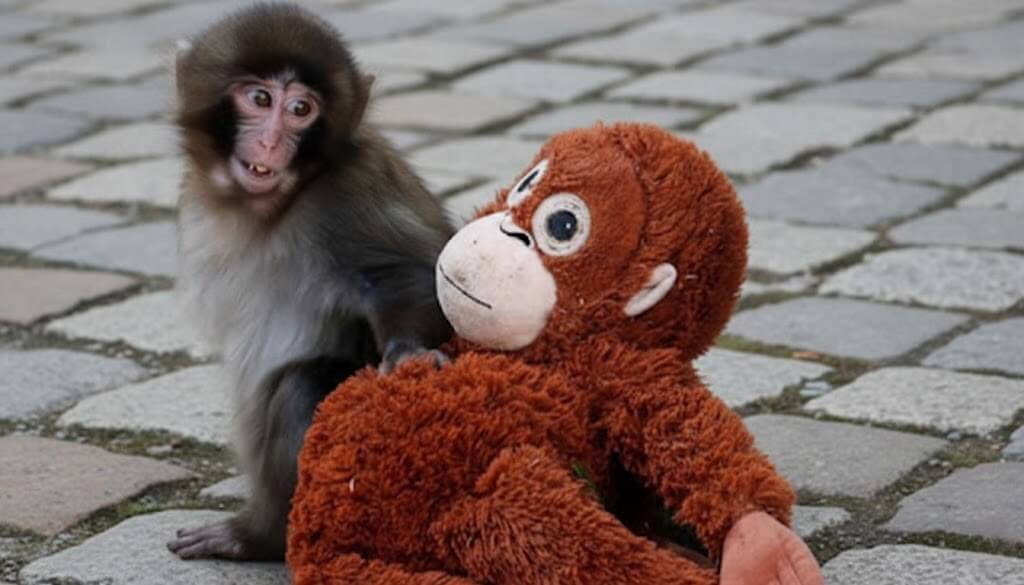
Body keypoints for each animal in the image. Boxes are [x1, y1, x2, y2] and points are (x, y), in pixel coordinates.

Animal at [166, 4, 454, 561]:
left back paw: (258, 538)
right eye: (260, 99)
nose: (271, 140)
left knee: (301, 386)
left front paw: (409, 353)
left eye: (301, 108)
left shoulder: (344, 201)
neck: (274, 207)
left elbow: (408, 273)